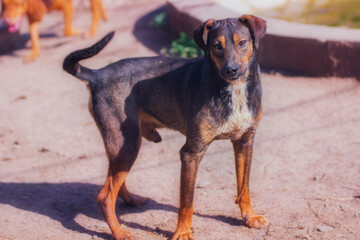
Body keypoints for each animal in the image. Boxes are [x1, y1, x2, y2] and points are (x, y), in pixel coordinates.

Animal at [63, 15, 268, 240]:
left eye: (242, 43)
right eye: (216, 45)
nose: (231, 70)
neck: (232, 89)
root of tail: (97, 75)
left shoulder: (244, 142)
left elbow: (244, 187)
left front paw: (249, 217)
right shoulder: (191, 152)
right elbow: (186, 201)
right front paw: (183, 232)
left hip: (121, 147)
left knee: (115, 181)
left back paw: (130, 200)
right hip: (127, 146)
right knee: (105, 196)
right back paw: (119, 232)